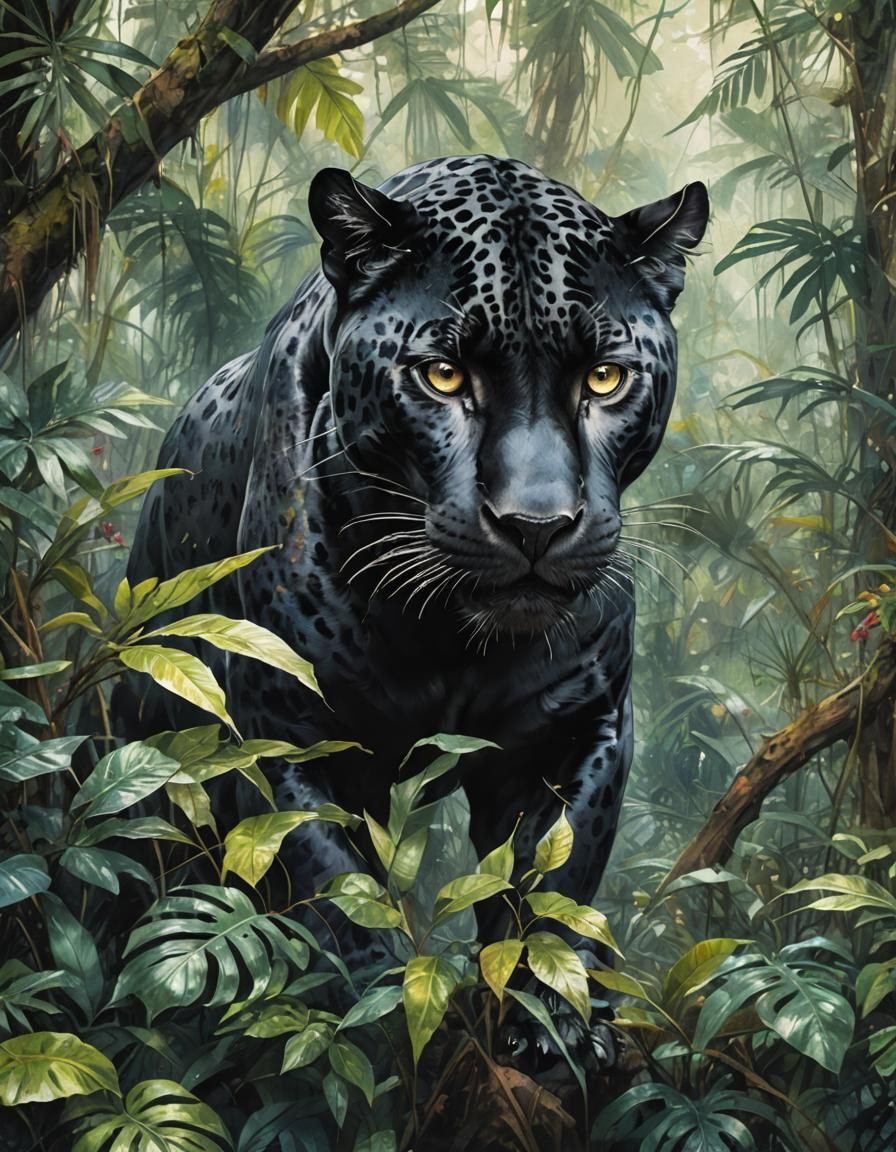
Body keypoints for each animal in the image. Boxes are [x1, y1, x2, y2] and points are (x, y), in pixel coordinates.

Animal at [123, 153, 708, 1075]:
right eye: (443, 375)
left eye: (604, 378)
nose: (536, 524)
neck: (450, 640)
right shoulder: (283, 736)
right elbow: (332, 882)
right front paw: (388, 1015)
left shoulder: (583, 729)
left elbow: (551, 879)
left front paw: (554, 1019)